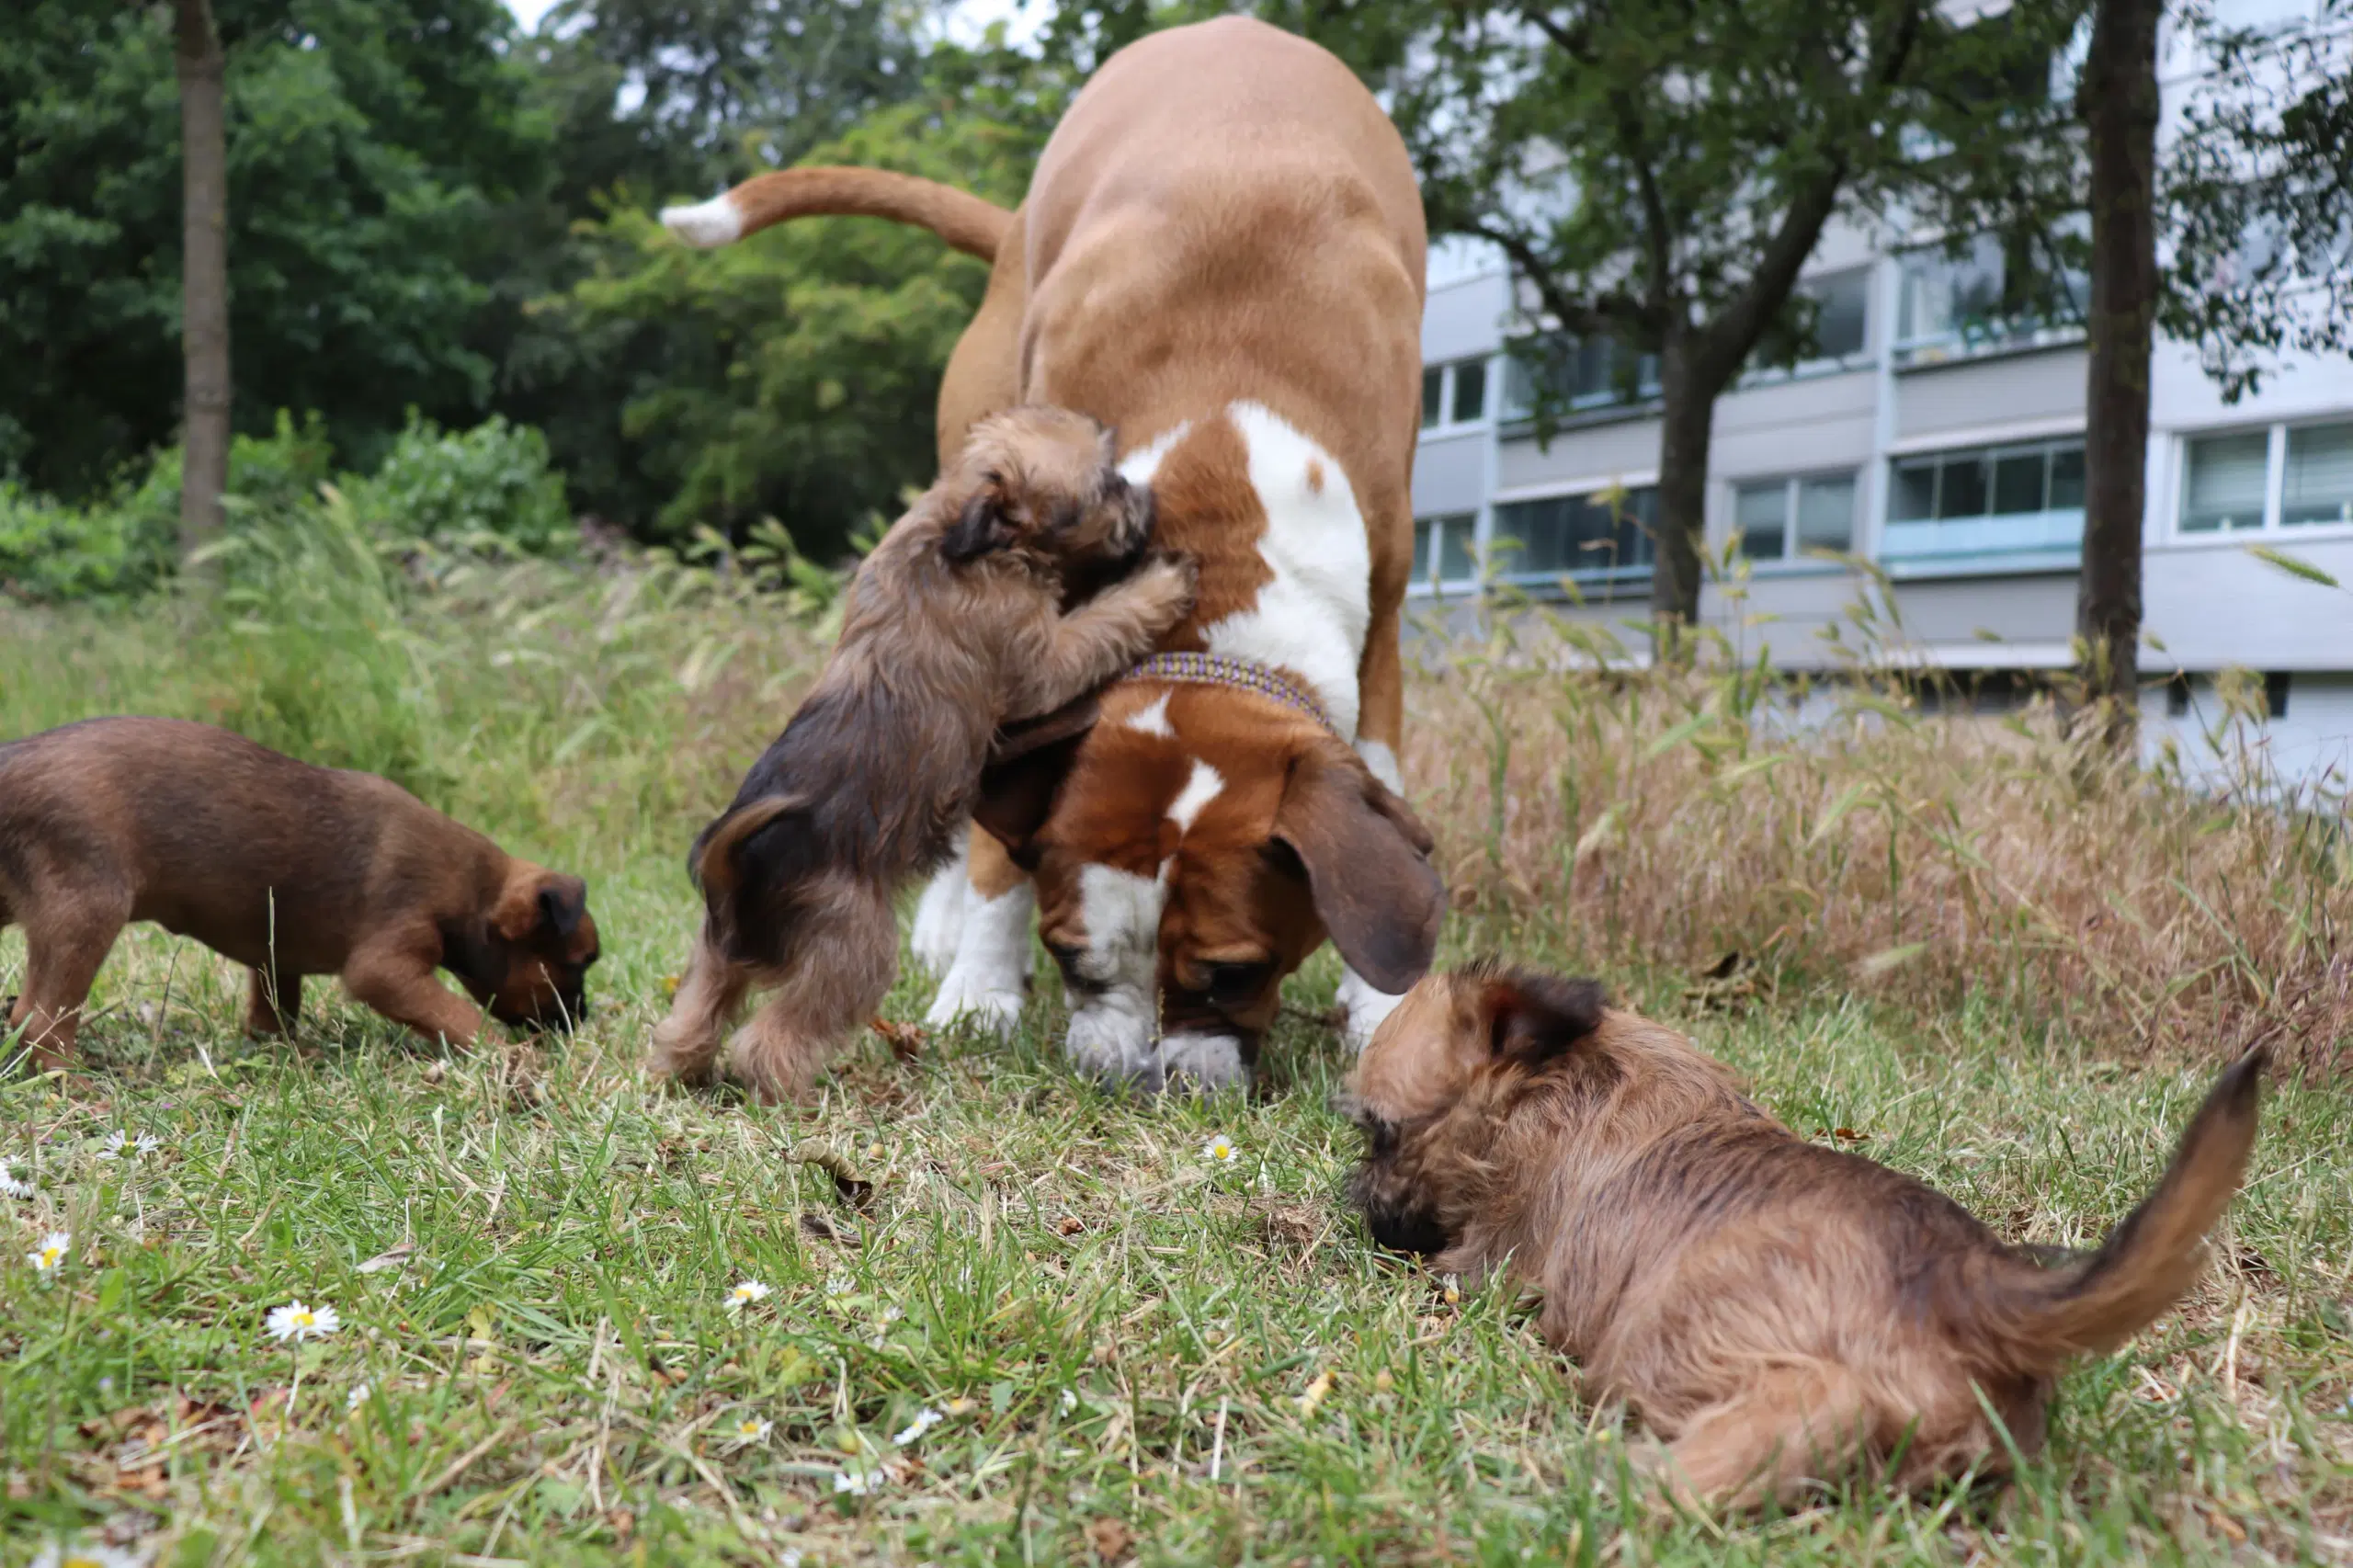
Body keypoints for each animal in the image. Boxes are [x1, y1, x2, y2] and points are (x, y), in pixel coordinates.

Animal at [0, 715, 602, 1063]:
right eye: (579, 964)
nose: (580, 1020)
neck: (473, 892)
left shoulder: (276, 955)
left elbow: (274, 1012)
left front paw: (289, 1052)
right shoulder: (387, 967)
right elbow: (460, 1017)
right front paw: (514, 1061)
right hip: (90, 910)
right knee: (39, 1019)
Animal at [644, 403, 1195, 1096]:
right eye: (1105, 486)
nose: (1147, 496)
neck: (958, 530)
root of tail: (739, 866)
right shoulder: (1045, 661)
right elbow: (1104, 622)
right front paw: (1161, 584)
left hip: (716, 954)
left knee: (691, 1019)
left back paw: (680, 1071)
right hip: (856, 950)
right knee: (773, 1039)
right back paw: (790, 1092)